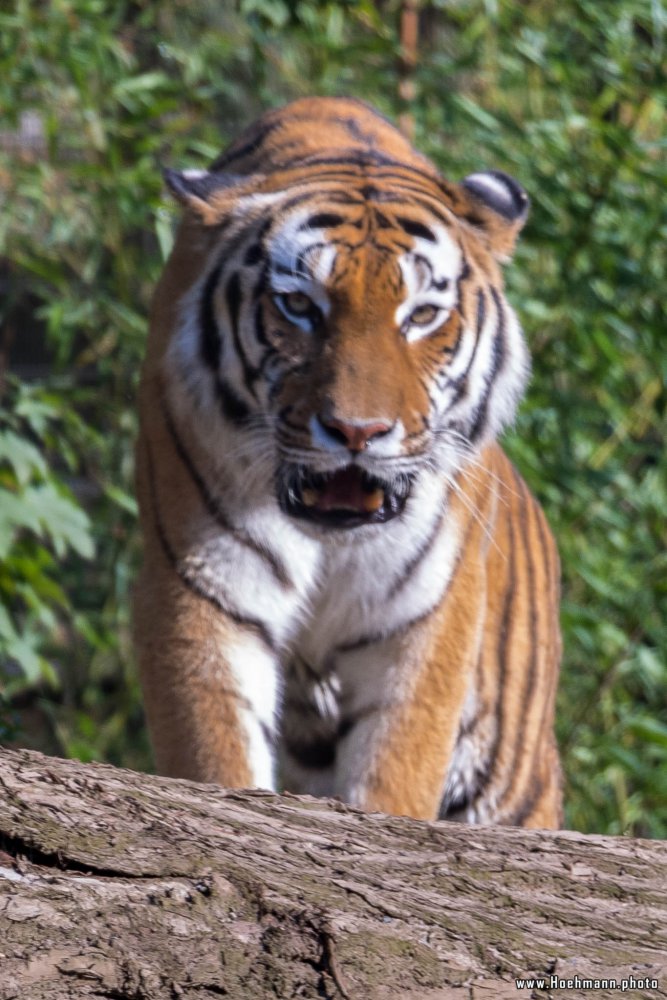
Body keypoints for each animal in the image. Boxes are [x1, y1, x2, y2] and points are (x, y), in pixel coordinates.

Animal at [136, 95, 564, 828]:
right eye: (299, 305)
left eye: (421, 315)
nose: (357, 431)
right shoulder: (203, 589)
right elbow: (216, 753)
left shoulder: (422, 624)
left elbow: (395, 770)